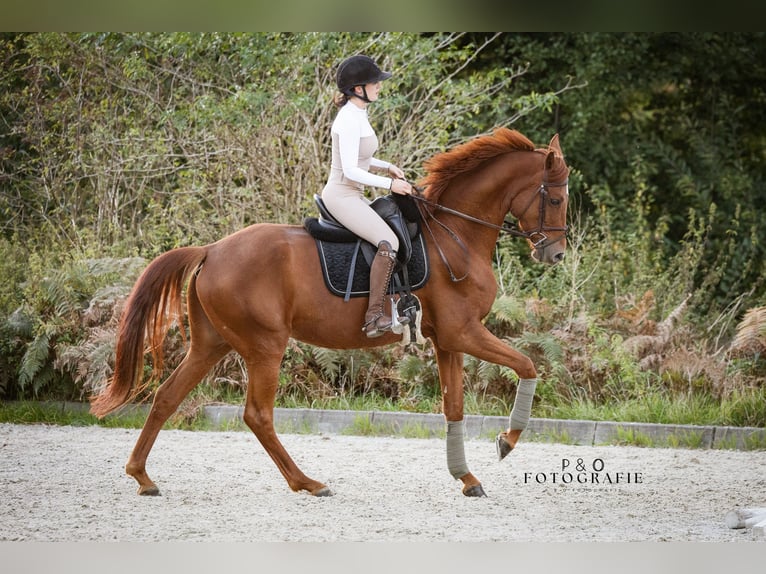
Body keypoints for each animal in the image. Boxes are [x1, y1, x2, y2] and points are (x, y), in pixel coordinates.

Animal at [91, 127, 568, 500]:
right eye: (556, 198)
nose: (556, 254)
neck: (456, 236)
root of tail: (211, 250)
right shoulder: (464, 332)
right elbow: (527, 365)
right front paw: (507, 441)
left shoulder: (447, 339)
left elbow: (454, 408)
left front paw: (466, 478)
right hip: (265, 345)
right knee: (257, 414)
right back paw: (308, 483)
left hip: (212, 343)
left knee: (166, 396)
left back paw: (142, 477)